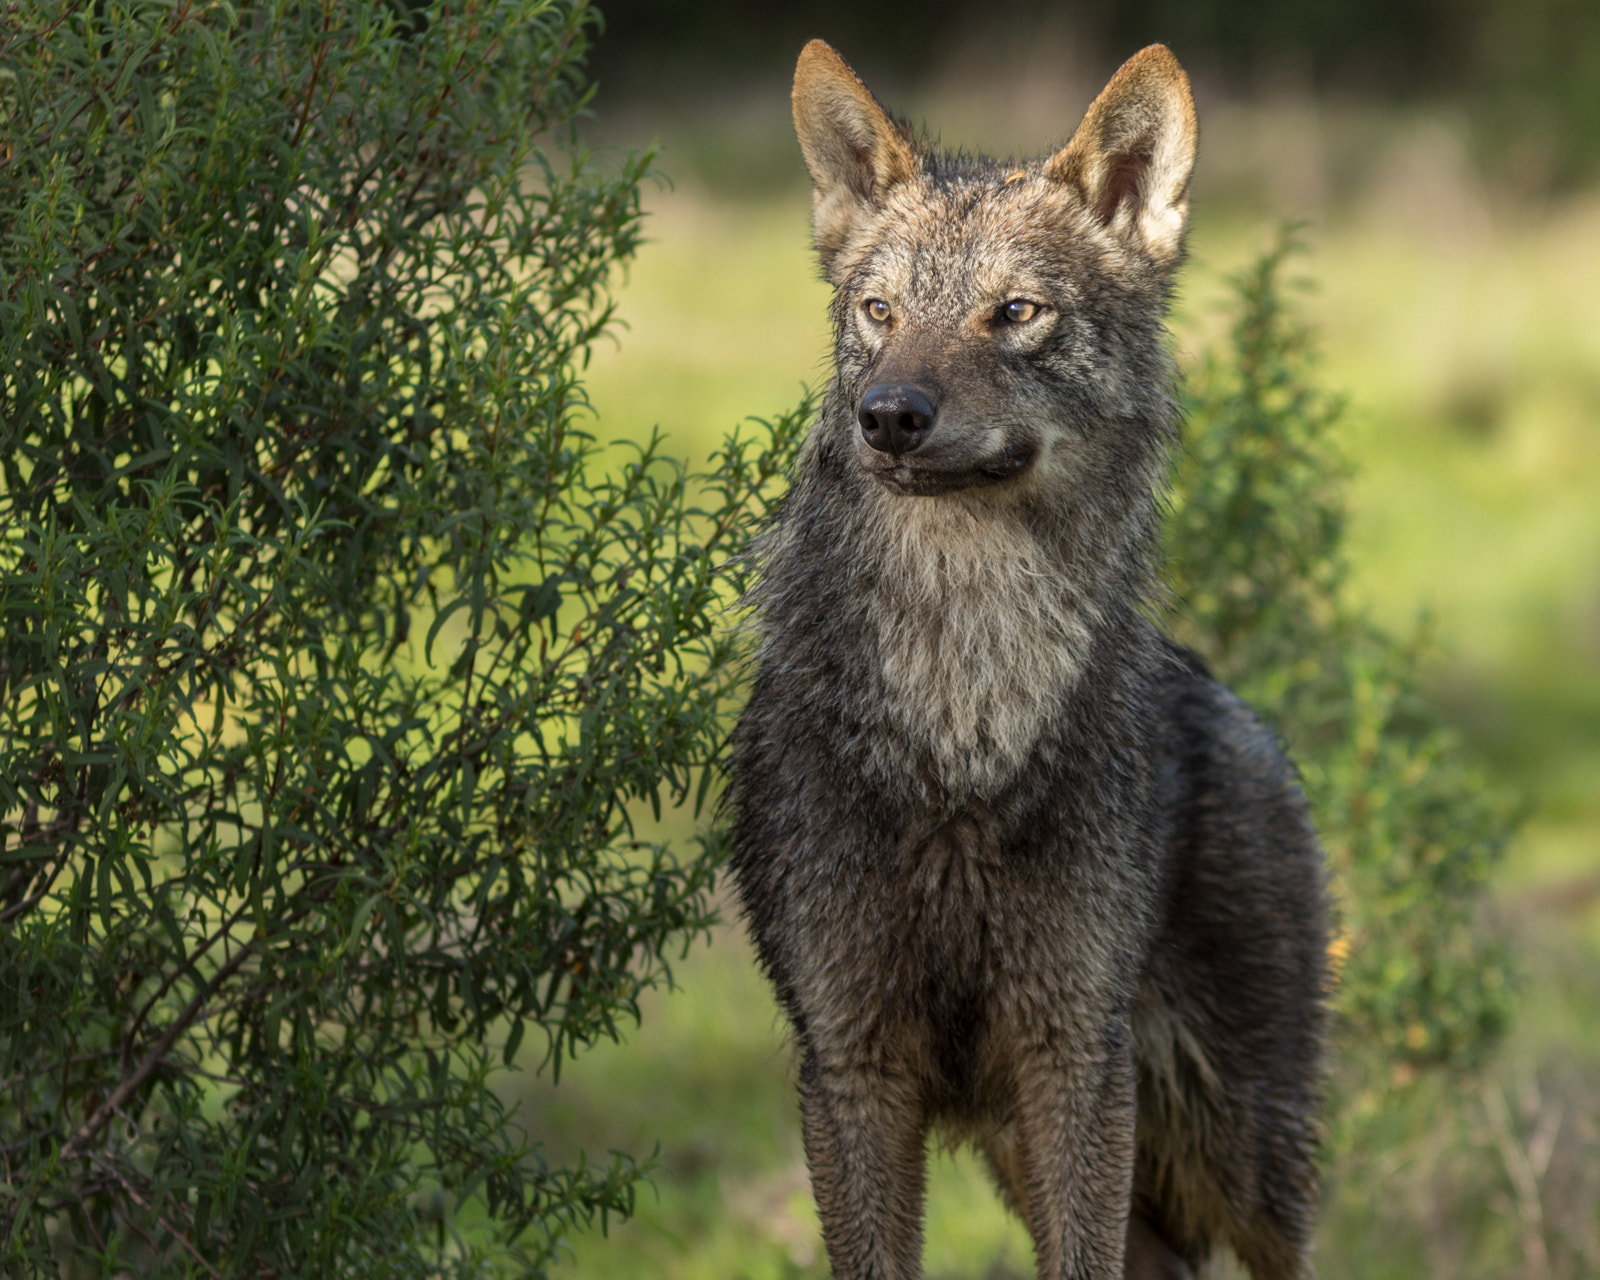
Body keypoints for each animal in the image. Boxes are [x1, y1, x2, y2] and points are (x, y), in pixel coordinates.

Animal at [727, 39, 1328, 1280]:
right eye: (880, 309)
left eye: (1015, 312)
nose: (887, 414)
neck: (963, 710)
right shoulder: (851, 1064)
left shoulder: (1072, 1058)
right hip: (1044, 1149)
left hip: (1240, 1149)